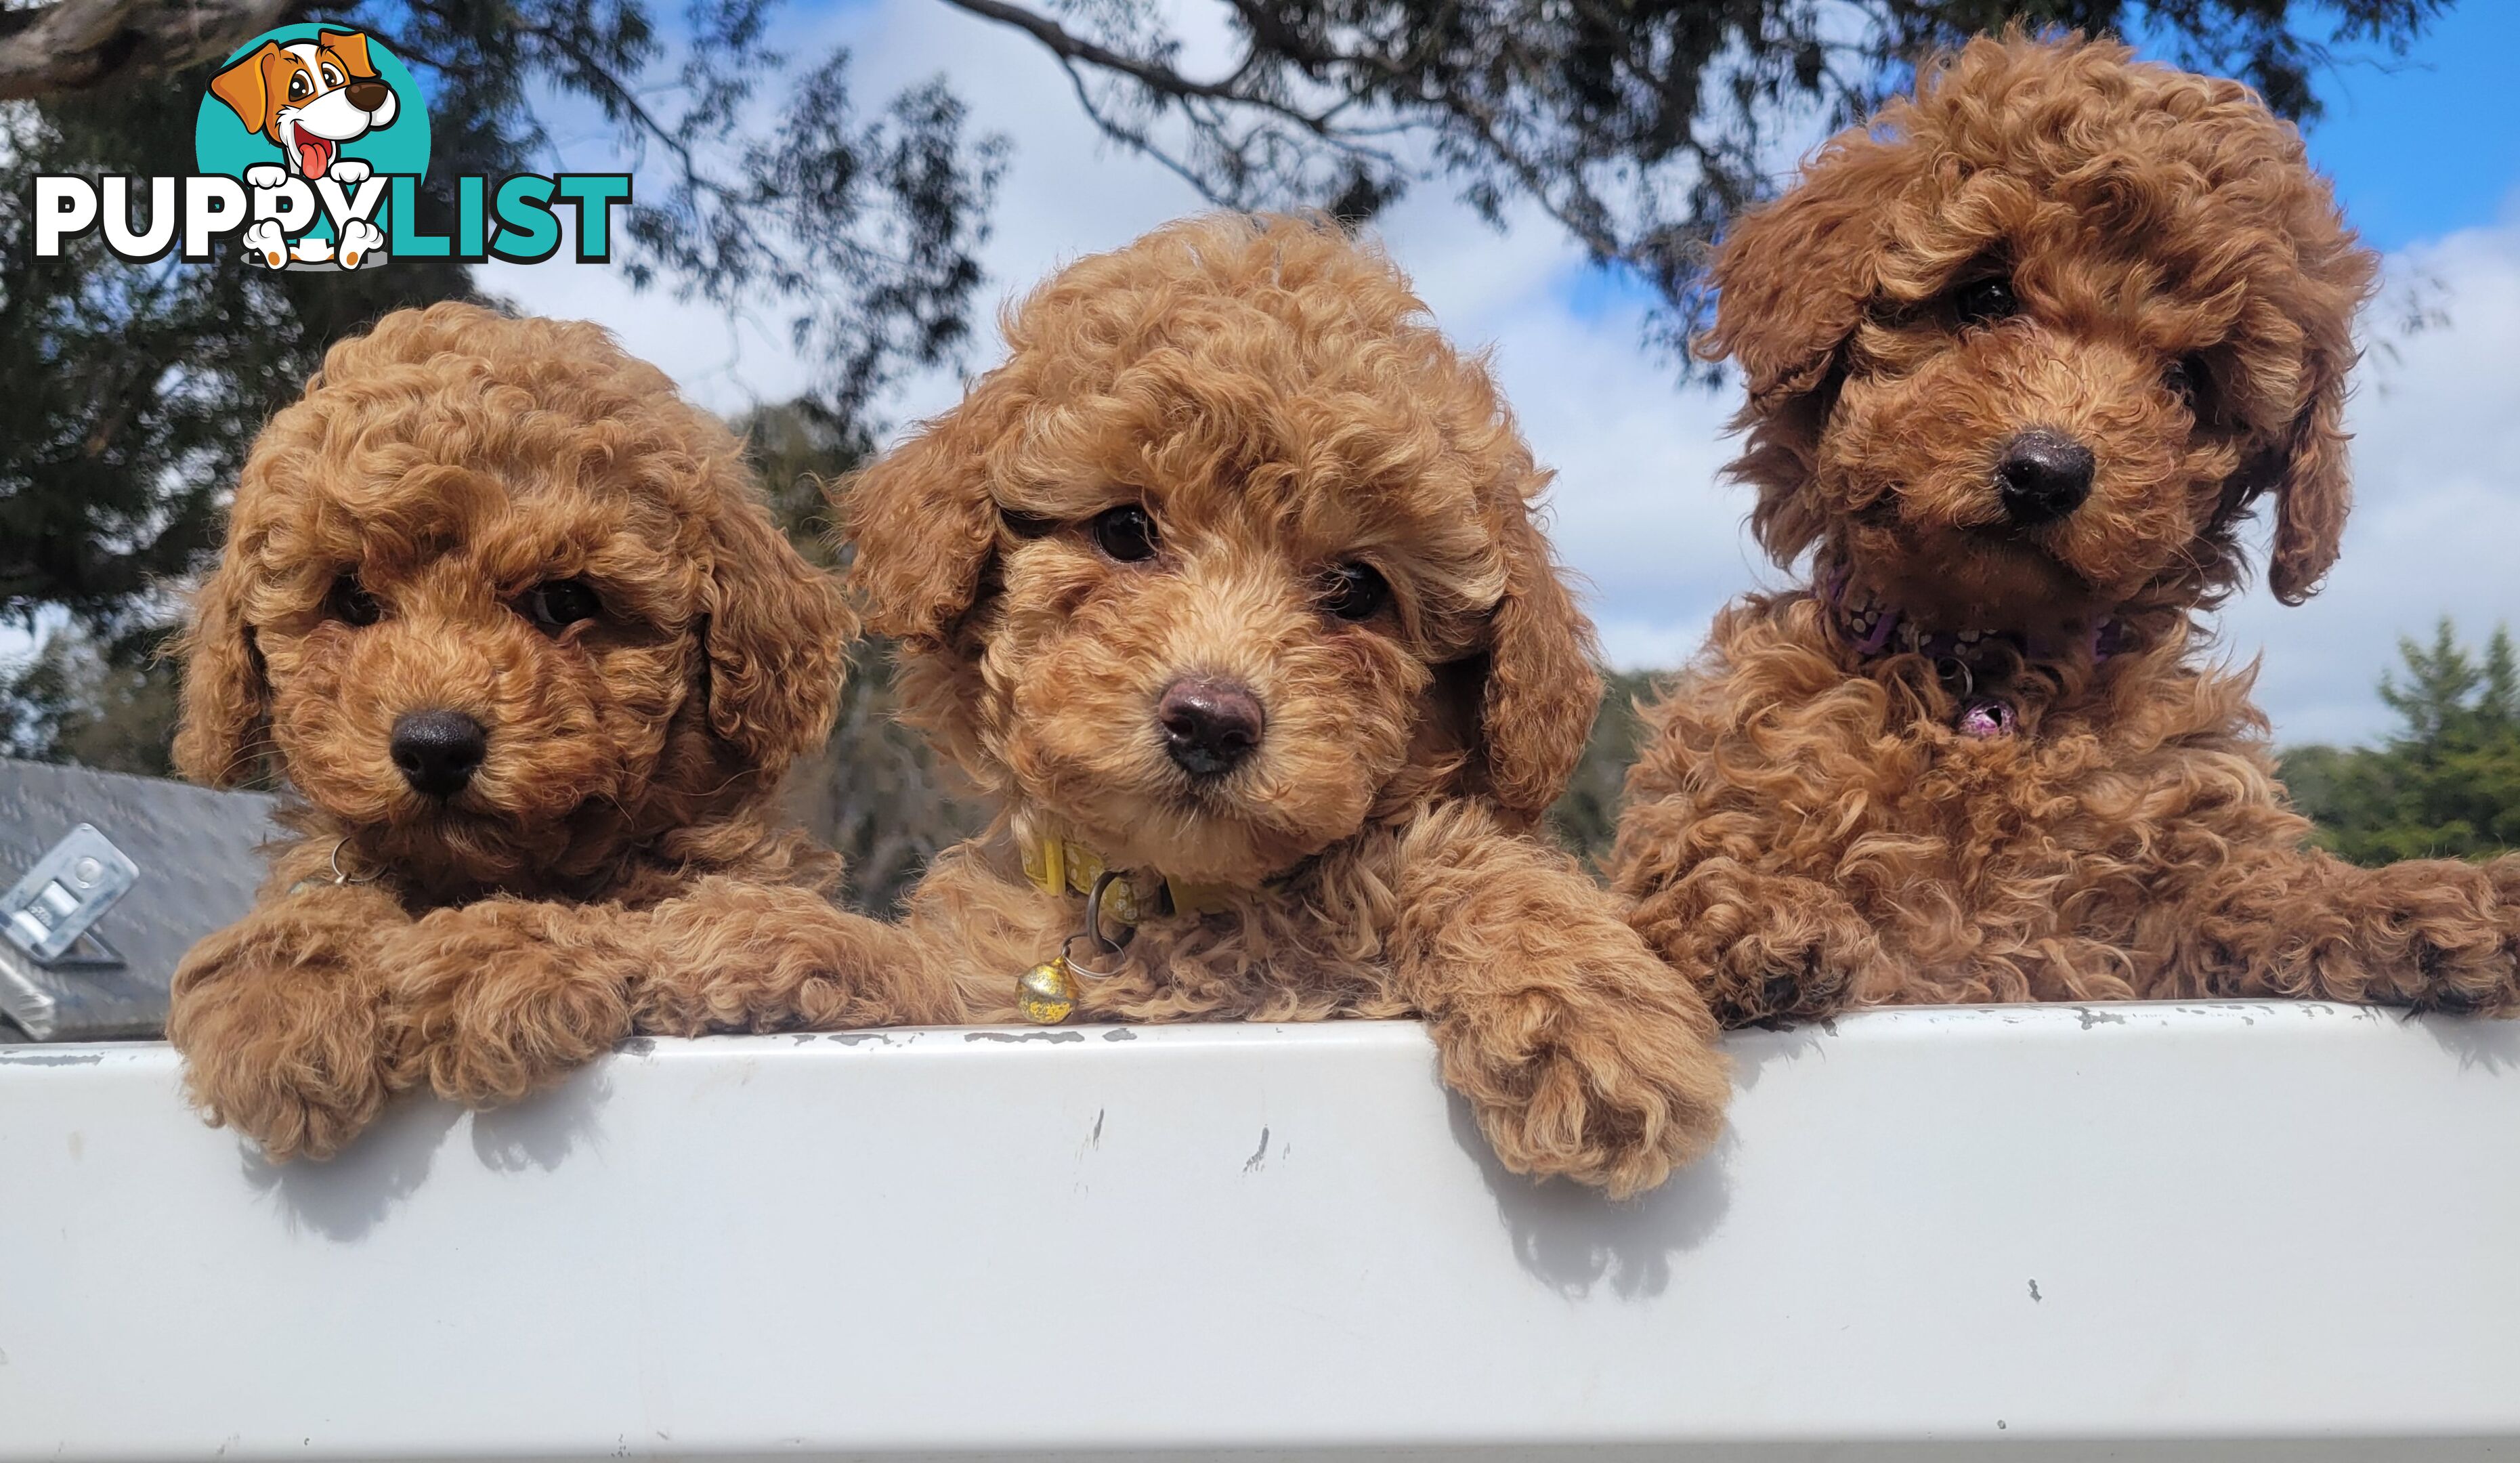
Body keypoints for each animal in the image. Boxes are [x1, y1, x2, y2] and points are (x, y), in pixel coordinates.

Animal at [167, 302, 947, 1160]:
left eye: (566, 601)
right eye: (352, 598)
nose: (435, 747)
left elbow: (640, 916)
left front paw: (497, 960)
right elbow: (320, 904)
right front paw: (283, 1007)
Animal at [847, 217, 1734, 1200]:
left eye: (1356, 588)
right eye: (1124, 530)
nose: (1210, 721)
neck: (1185, 901)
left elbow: (1446, 854)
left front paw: (1589, 1020)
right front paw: (787, 946)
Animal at [1613, 28, 2520, 1024]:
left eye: (2188, 382)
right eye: (1985, 297)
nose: (2046, 474)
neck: (1983, 677)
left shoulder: (2158, 905)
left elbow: (2259, 893)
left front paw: (2431, 897)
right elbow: (1670, 893)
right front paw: (1748, 912)